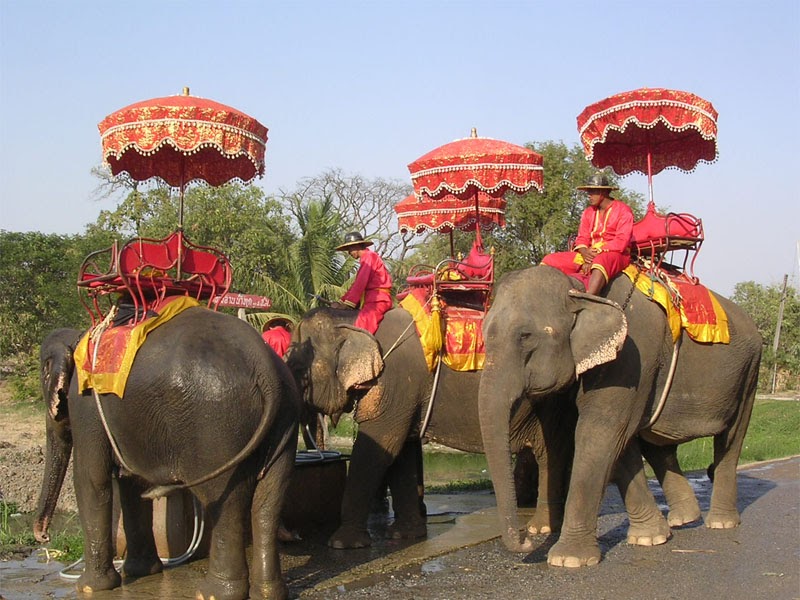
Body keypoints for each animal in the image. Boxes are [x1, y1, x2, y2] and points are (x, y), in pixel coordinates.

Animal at [34, 307, 301, 600]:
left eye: (44, 379)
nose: (43, 537)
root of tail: (267, 371)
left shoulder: (84, 403)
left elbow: (91, 479)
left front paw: (89, 587)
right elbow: (131, 484)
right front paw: (142, 571)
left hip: (217, 426)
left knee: (225, 500)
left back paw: (211, 593)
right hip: (284, 420)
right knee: (268, 500)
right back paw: (268, 592)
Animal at [286, 306, 577, 549]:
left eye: (298, 369)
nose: (295, 537)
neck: (353, 317)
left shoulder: (394, 382)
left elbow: (379, 448)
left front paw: (343, 545)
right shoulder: (405, 395)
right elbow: (401, 452)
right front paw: (404, 536)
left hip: (552, 400)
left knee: (549, 452)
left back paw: (542, 528)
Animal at [478, 265, 762, 567]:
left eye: (525, 336)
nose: (527, 540)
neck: (579, 289)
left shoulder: (630, 357)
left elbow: (600, 432)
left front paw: (568, 560)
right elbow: (619, 443)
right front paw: (649, 538)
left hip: (749, 372)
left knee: (731, 438)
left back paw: (720, 523)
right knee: (657, 443)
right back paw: (684, 519)